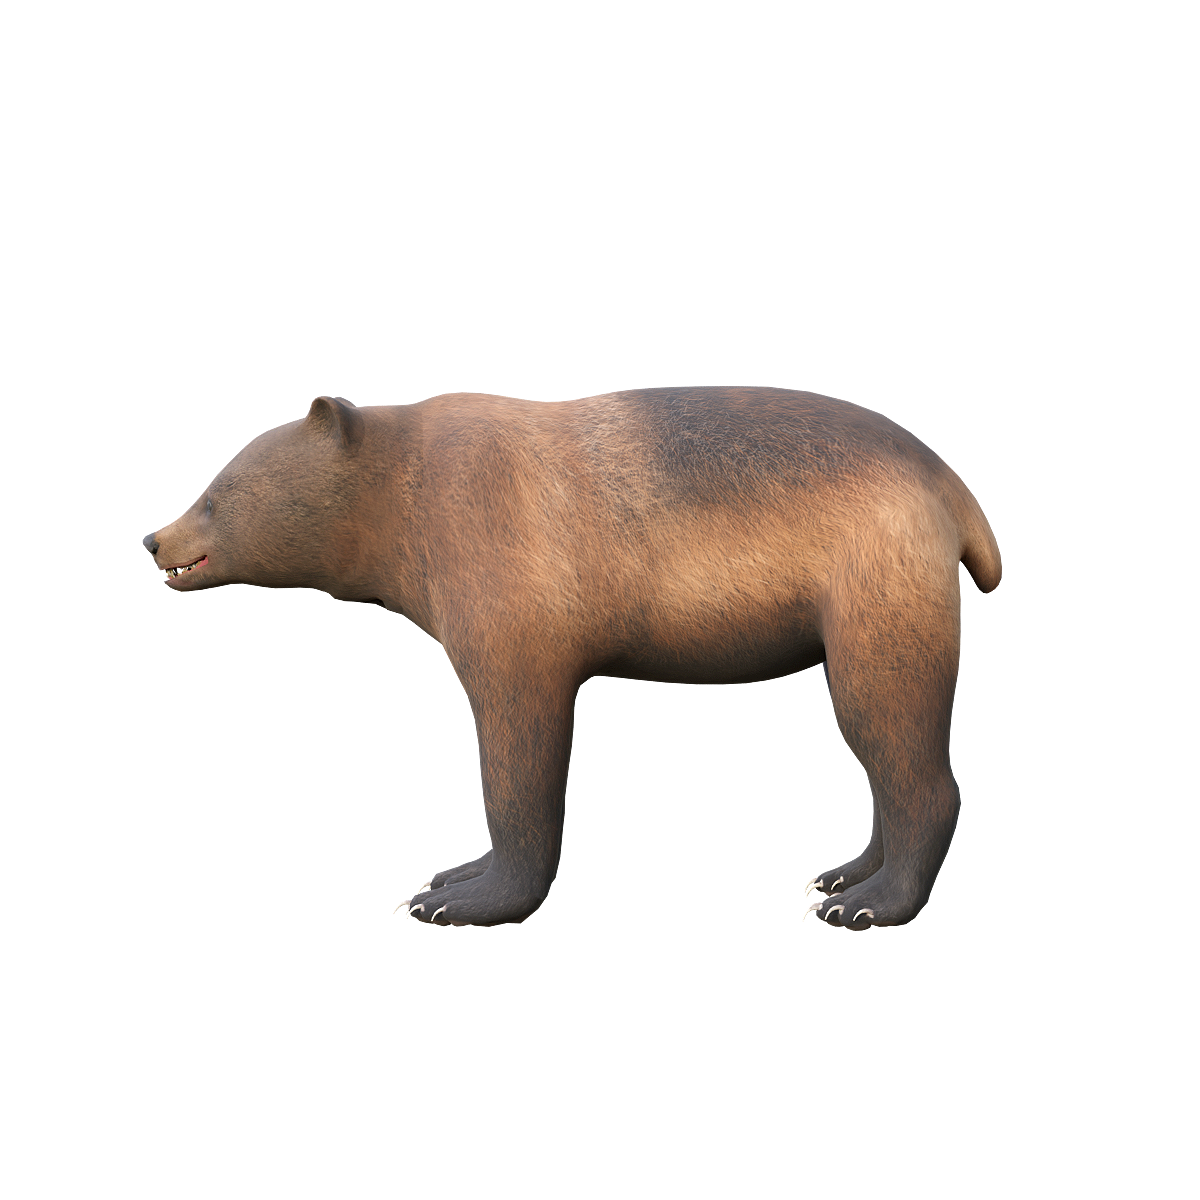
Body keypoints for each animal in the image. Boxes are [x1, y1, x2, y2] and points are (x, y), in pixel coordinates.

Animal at [144, 388, 1001, 929]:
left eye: (216, 493)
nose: (158, 543)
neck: (404, 497)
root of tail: (952, 488)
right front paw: (444, 875)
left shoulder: (499, 566)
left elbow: (518, 744)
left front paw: (455, 898)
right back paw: (840, 876)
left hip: (874, 577)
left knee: (891, 721)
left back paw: (868, 902)